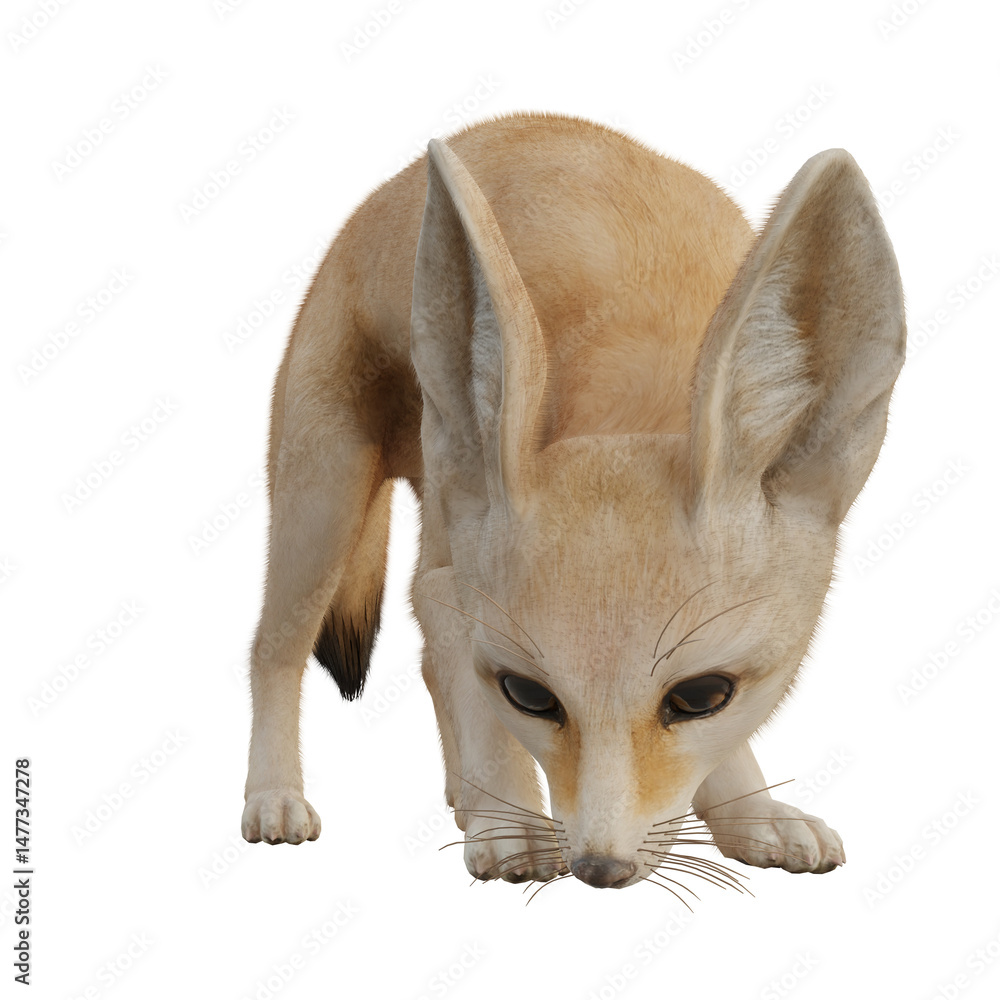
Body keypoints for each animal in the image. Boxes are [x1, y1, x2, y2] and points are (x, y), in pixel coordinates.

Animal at [241, 112, 905, 891]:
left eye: (701, 696)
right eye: (531, 696)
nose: (599, 869)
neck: (644, 375)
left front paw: (748, 812)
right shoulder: (463, 581)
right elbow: (464, 670)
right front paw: (511, 822)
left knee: (428, 658)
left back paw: (461, 794)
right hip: (324, 502)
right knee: (276, 648)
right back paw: (279, 796)